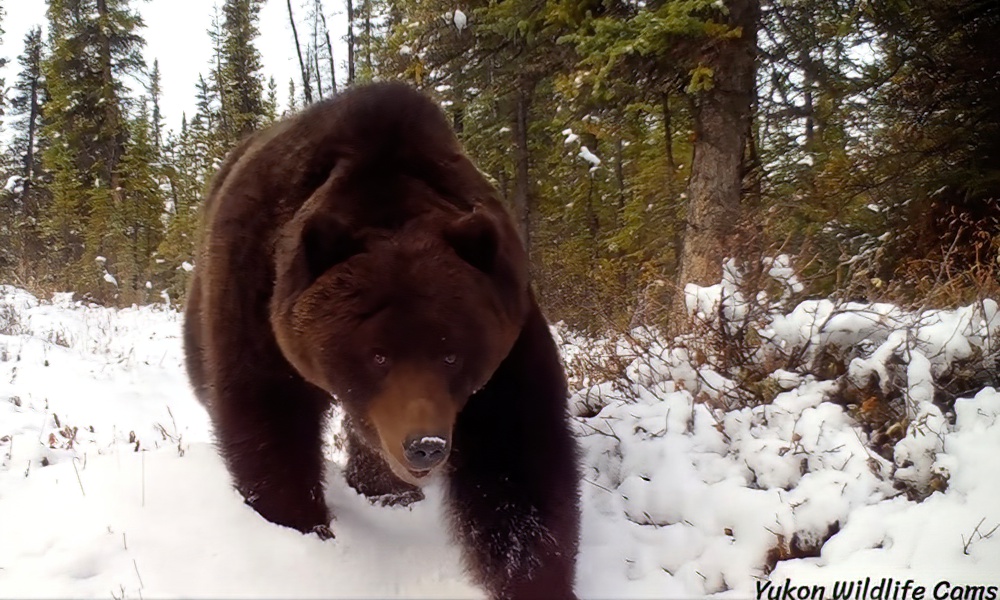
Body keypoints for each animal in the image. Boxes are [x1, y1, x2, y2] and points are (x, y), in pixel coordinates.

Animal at [184, 82, 584, 596]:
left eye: (451, 354)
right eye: (377, 355)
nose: (425, 445)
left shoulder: (507, 336)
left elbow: (518, 455)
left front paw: (532, 578)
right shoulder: (256, 294)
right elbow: (267, 418)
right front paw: (303, 530)